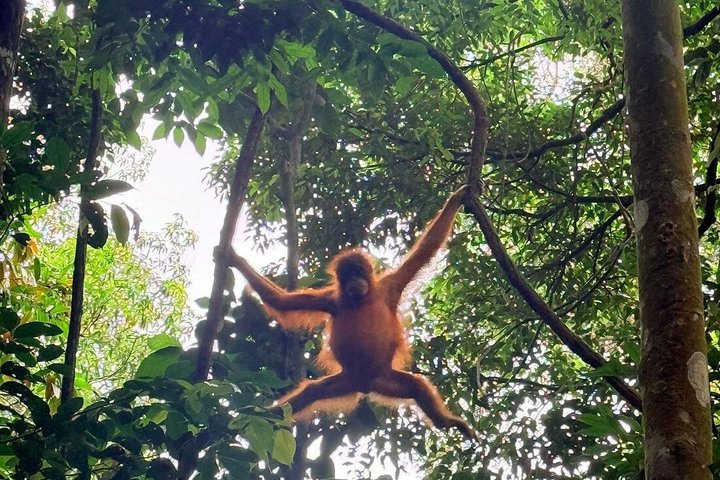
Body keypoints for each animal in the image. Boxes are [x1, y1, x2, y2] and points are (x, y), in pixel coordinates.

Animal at [221, 186, 474, 439]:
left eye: (359, 272)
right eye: (347, 275)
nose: (354, 281)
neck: (361, 299)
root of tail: (365, 385)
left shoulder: (391, 285)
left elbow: (427, 248)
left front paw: (456, 199)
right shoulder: (329, 300)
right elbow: (282, 301)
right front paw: (234, 260)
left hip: (386, 378)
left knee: (417, 386)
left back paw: (447, 421)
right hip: (346, 381)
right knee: (311, 392)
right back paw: (265, 414)